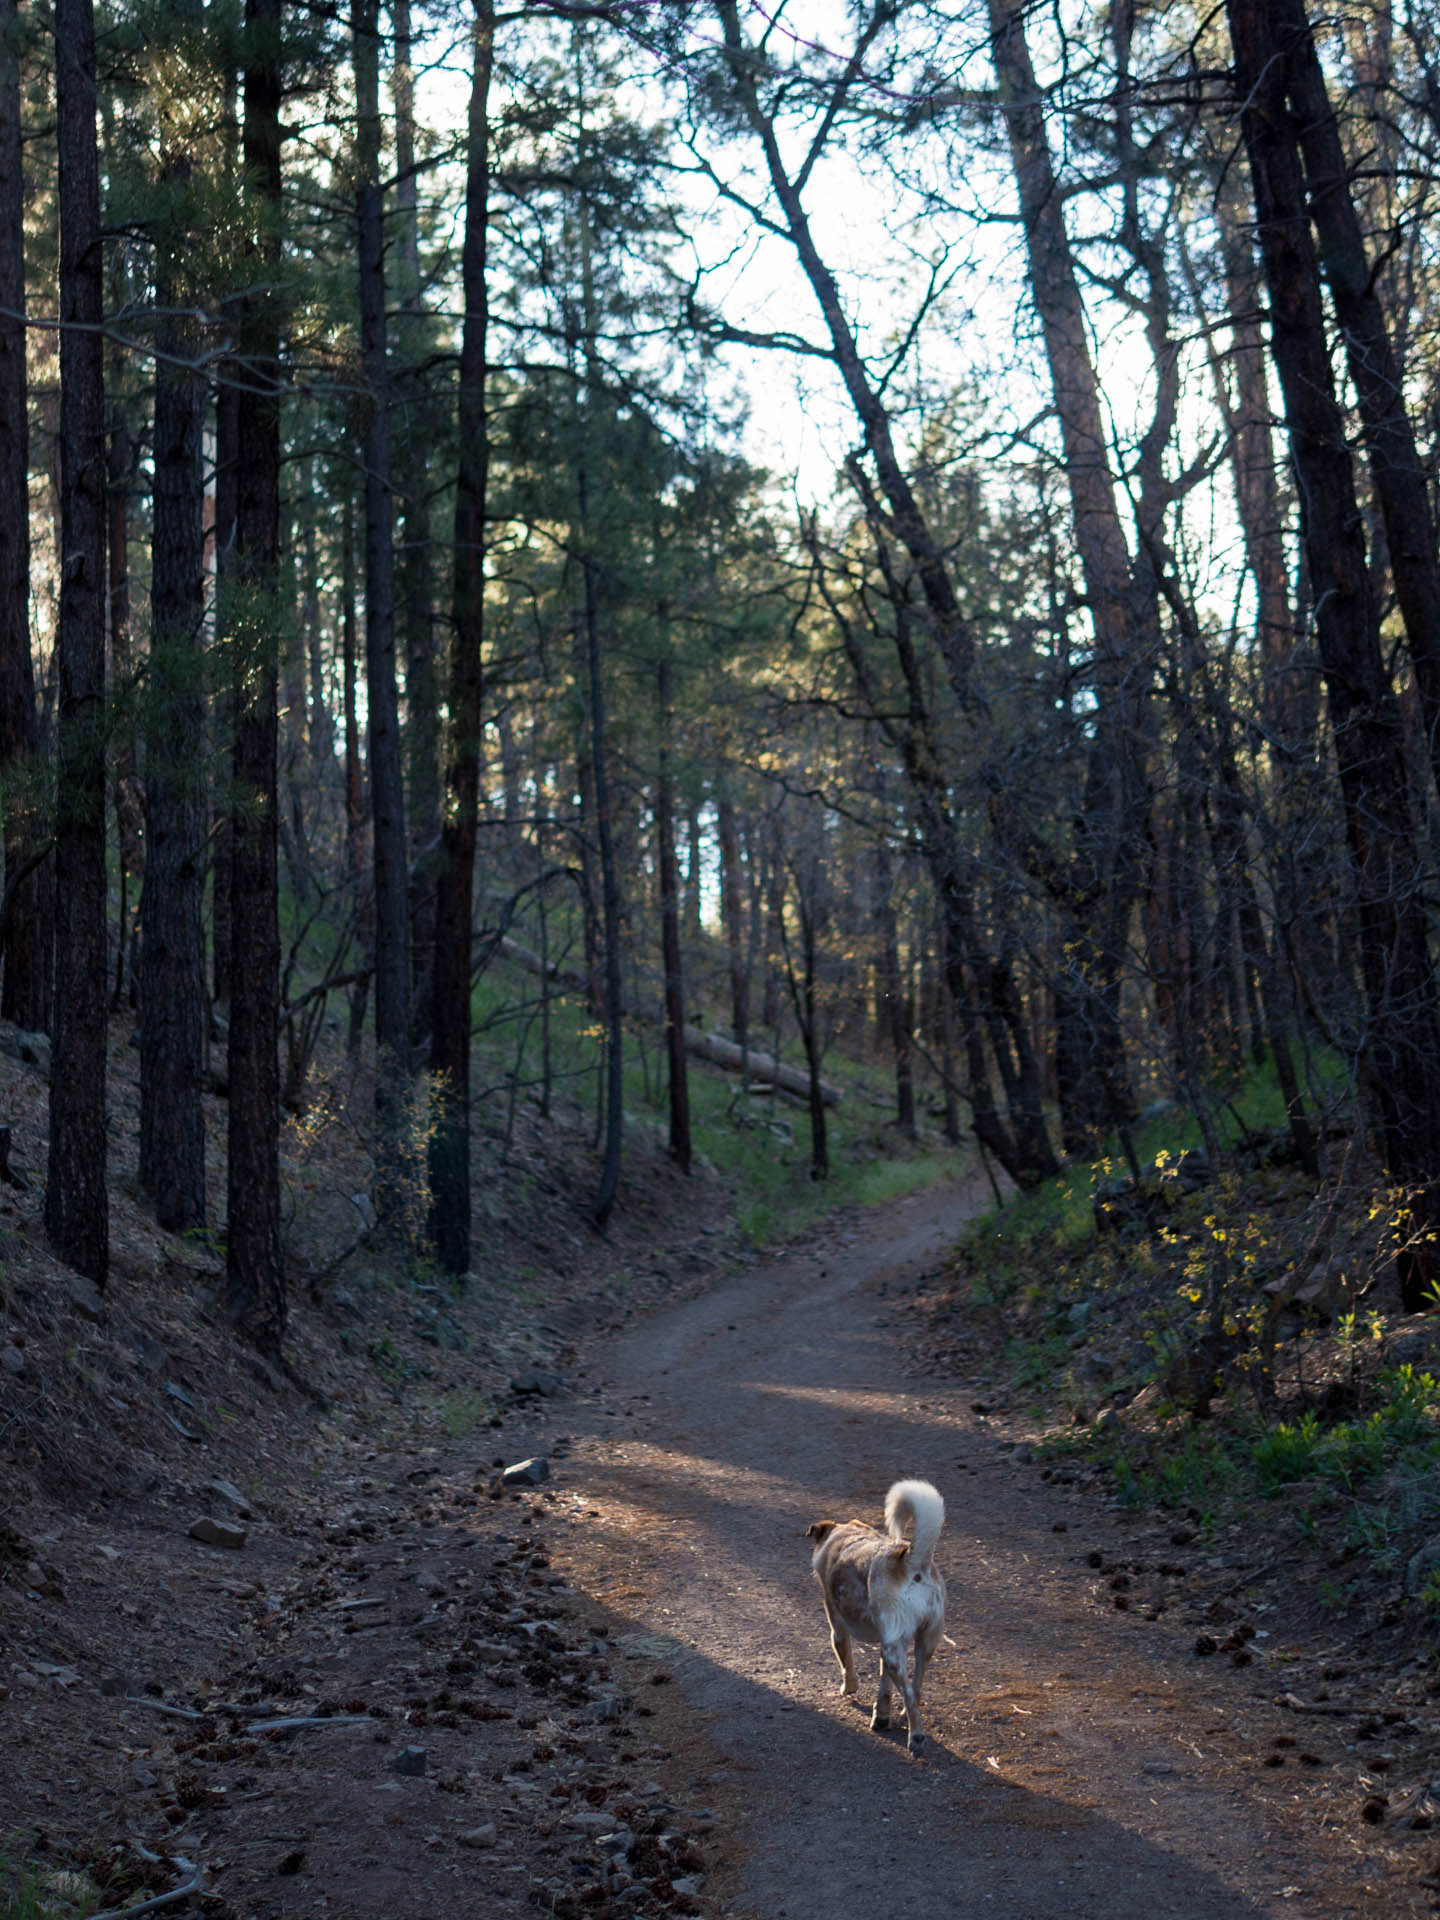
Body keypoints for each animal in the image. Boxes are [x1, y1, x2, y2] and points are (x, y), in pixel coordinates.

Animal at [814, 1474, 948, 1751]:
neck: (847, 1539)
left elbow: (846, 1664)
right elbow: (884, 1684)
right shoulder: (891, 1643)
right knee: (915, 1689)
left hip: (895, 1649)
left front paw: (849, 1687)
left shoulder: (838, 1630)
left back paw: (916, 1737)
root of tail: (911, 1560)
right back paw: (905, 1717)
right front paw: (882, 1715)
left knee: (910, 1694)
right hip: (923, 1643)